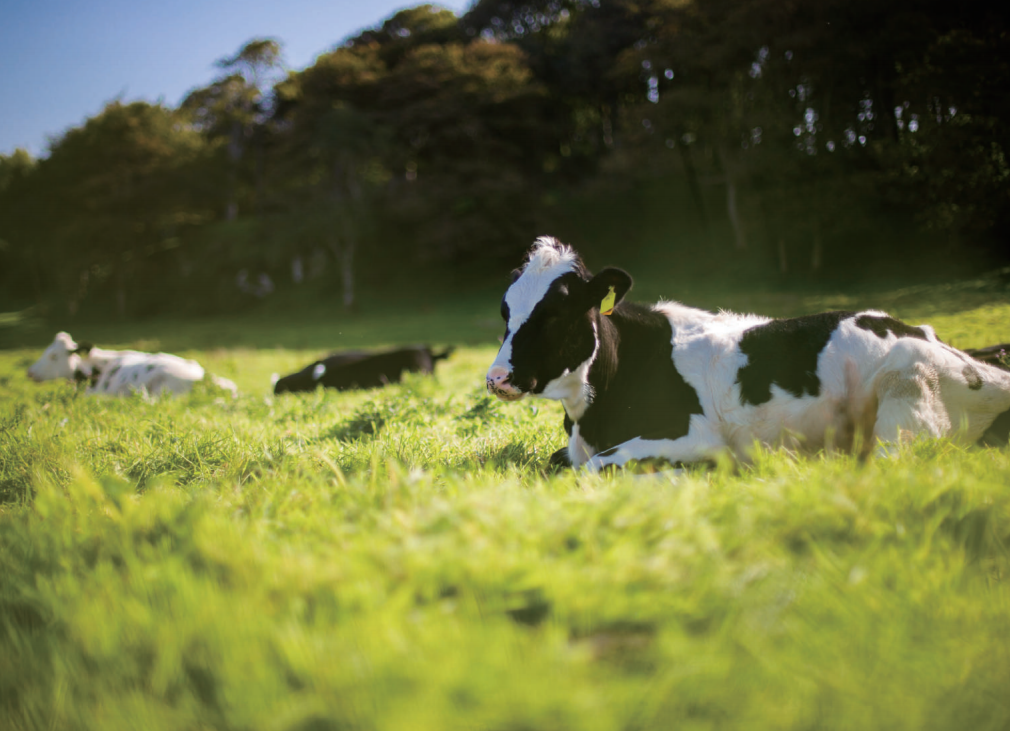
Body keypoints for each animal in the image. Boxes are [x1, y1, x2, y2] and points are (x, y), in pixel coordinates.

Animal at [482, 237, 1010, 470]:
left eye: (556, 314)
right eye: (505, 311)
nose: (497, 377)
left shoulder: (693, 434)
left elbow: (596, 466)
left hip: (907, 396)